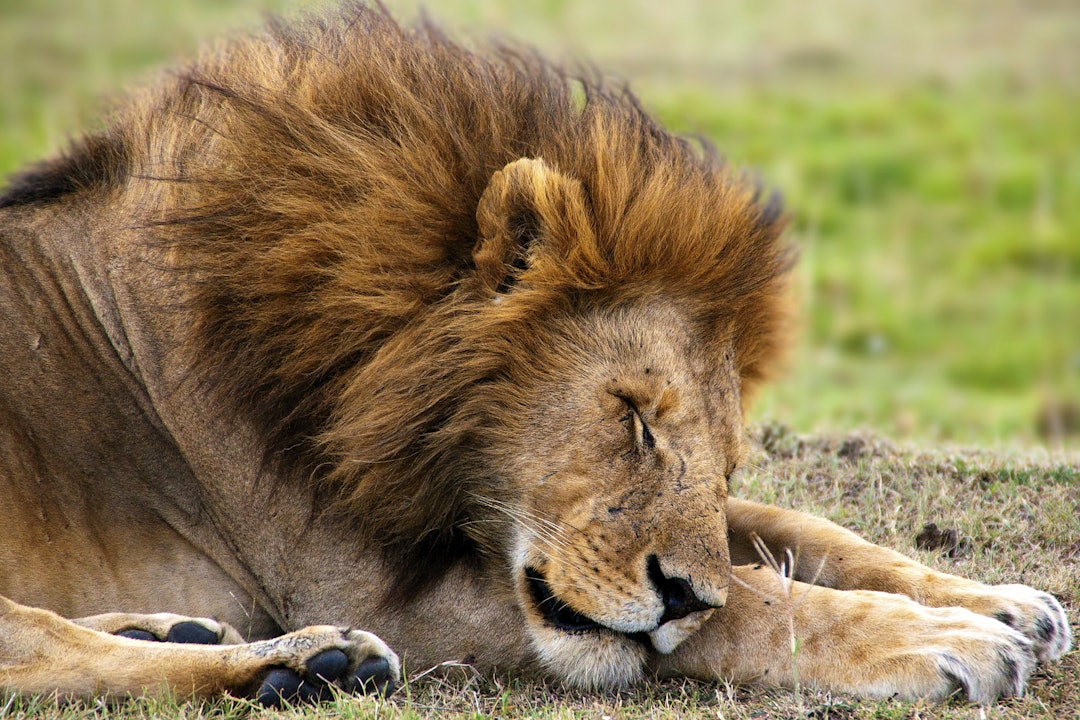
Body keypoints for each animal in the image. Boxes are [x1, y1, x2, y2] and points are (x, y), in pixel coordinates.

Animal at [0, 1, 1067, 708]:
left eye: (723, 462)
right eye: (631, 416)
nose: (678, 596)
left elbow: (800, 532)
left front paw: (1005, 604)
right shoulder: (369, 586)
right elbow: (756, 599)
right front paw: (948, 638)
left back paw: (186, 626)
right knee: (39, 651)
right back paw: (300, 664)